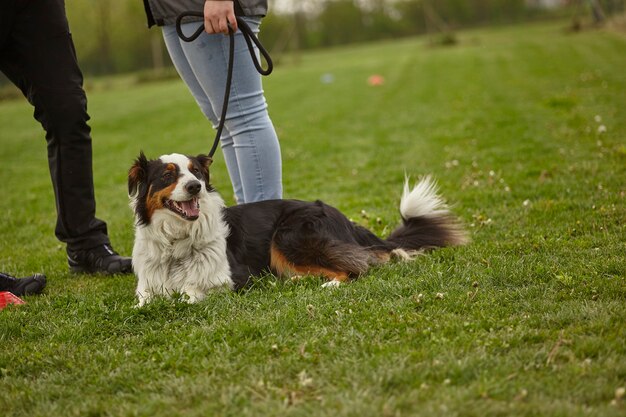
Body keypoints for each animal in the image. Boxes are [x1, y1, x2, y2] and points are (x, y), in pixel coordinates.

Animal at [129, 151, 466, 304]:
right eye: (167, 175)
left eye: (196, 172)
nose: (195, 187)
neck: (177, 242)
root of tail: (343, 218)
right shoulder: (148, 284)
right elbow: (144, 300)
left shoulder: (234, 277)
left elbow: (191, 291)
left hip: (289, 235)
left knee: (356, 267)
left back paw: (329, 283)